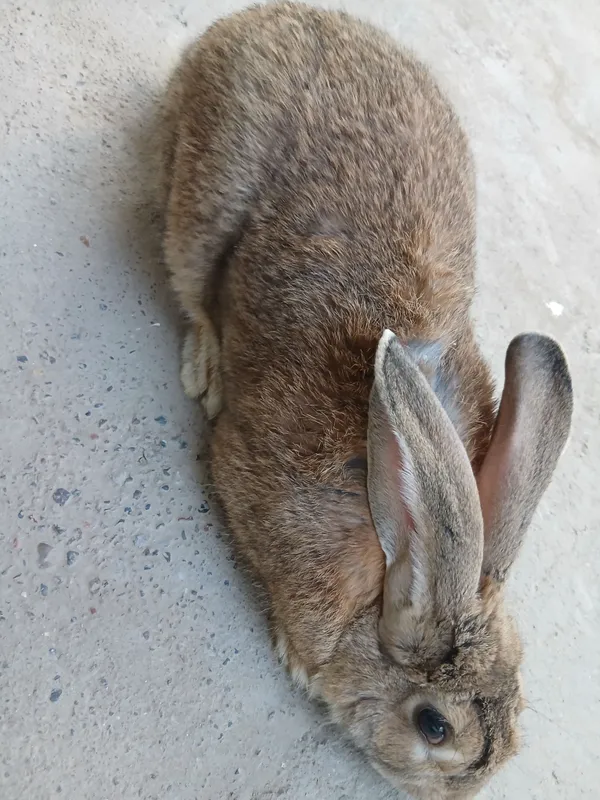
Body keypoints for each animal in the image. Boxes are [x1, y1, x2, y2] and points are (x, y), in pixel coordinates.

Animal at [158, 3, 573, 798]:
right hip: (205, 198)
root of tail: (255, 21)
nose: (462, 793)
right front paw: (295, 659)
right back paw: (209, 363)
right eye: (434, 727)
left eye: (515, 716)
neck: (389, 566)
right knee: (190, 279)